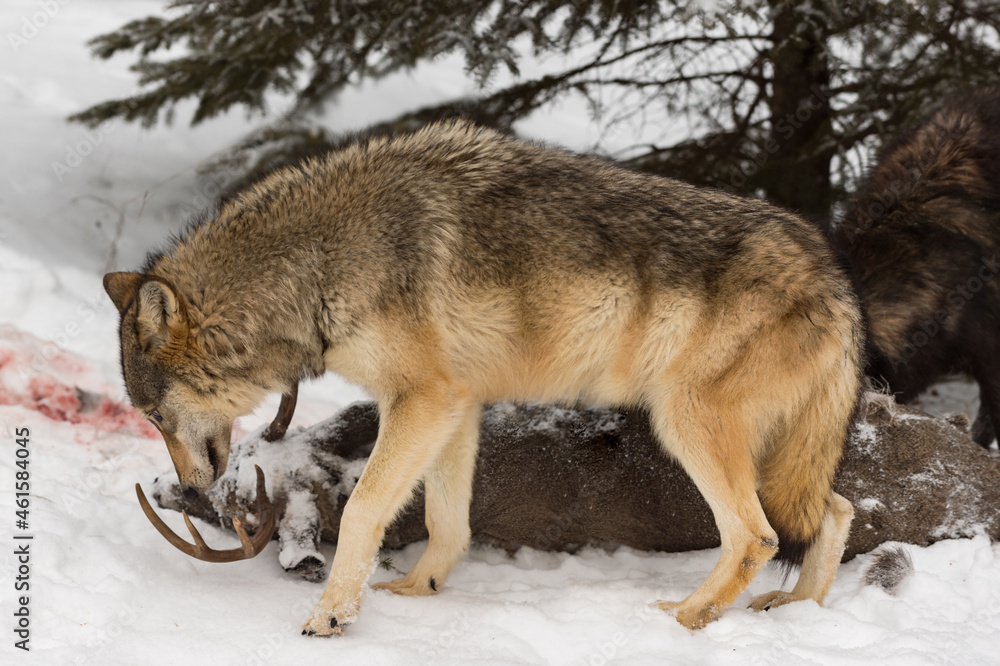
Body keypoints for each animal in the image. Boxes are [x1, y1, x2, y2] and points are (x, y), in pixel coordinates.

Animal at [104, 120, 863, 635]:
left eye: (156, 417)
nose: (194, 485)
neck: (321, 262)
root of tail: (834, 278)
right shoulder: (455, 406)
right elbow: (448, 523)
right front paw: (418, 591)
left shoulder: (421, 400)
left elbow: (363, 510)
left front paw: (332, 616)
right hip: (769, 451)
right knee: (835, 511)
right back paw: (796, 611)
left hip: (686, 426)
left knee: (758, 537)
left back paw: (681, 616)